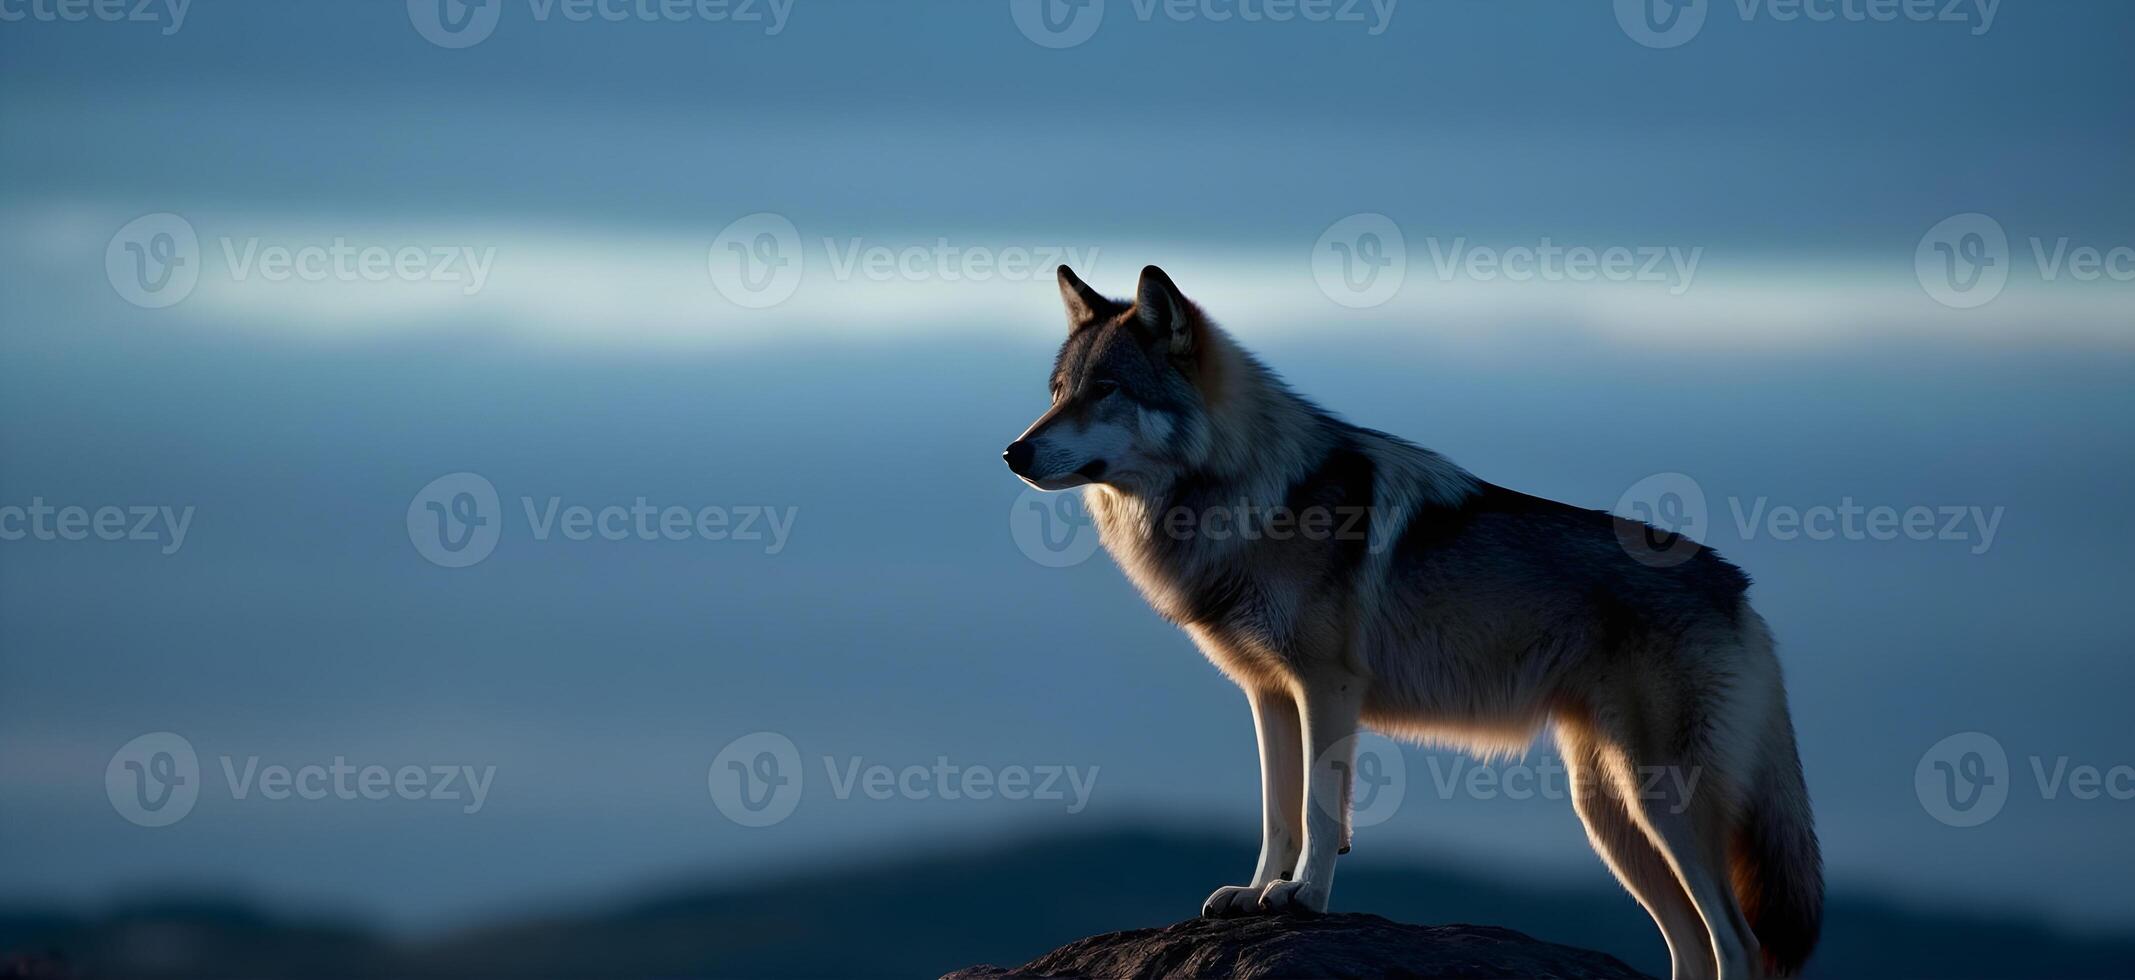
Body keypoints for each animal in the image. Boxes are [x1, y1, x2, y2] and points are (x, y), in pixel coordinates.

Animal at [999, 266, 1819, 980]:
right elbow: (1276, 812)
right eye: (1057, 392)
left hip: (1662, 803)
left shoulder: (1326, 687)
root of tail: (1739, 589)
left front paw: (1303, 897)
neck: (1249, 495)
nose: (1012, 451)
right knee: (1692, 947)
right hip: (1610, 815)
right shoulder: (1268, 695)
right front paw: (1255, 892)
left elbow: (1319, 810)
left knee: (1739, 945)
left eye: (1106, 391)